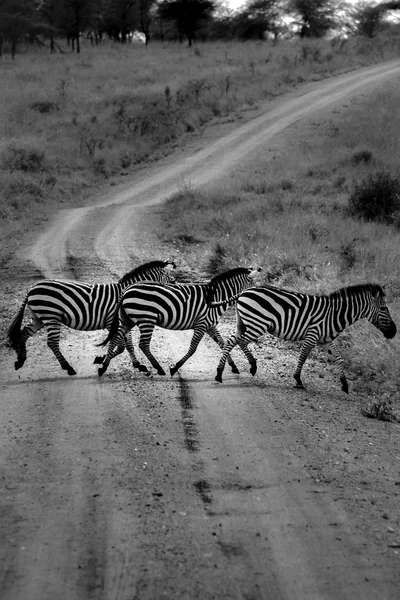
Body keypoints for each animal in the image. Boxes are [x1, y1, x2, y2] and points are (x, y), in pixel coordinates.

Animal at [7, 258, 176, 376]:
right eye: (171, 279)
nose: (175, 291)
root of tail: (32, 288)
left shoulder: (123, 322)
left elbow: (128, 345)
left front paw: (137, 365)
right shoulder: (113, 322)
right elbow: (122, 345)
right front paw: (102, 360)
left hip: (38, 317)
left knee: (24, 333)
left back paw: (20, 360)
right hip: (51, 317)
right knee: (52, 343)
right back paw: (68, 368)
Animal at [95, 266, 260, 378]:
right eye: (254, 287)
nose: (258, 299)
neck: (216, 297)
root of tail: (126, 291)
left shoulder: (210, 325)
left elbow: (222, 343)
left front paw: (233, 366)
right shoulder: (201, 324)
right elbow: (193, 348)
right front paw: (174, 368)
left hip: (128, 319)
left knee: (116, 338)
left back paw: (103, 367)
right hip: (146, 319)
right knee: (143, 344)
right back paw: (159, 368)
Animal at [214, 282, 396, 394]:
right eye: (383, 308)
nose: (394, 332)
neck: (335, 314)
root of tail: (245, 291)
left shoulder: (326, 340)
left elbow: (339, 358)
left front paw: (344, 384)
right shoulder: (312, 335)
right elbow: (303, 356)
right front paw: (298, 380)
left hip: (244, 323)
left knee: (234, 341)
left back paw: (240, 368)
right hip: (257, 324)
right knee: (237, 341)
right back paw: (226, 372)